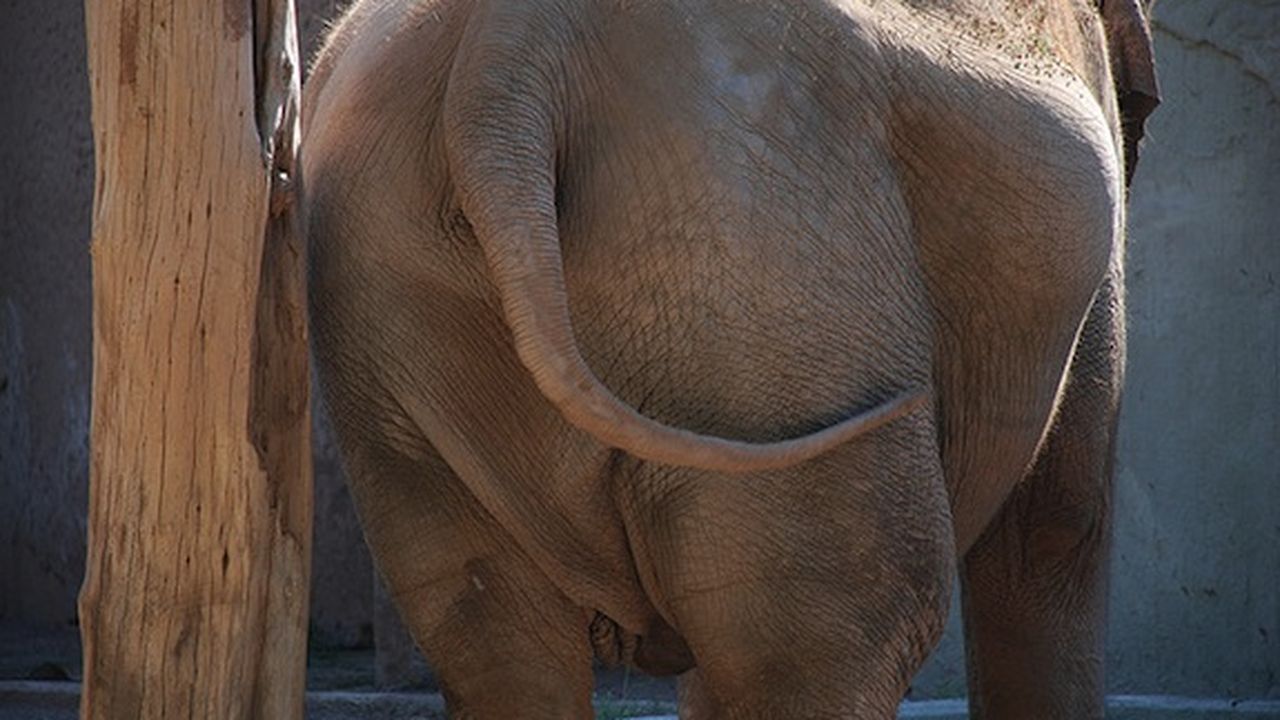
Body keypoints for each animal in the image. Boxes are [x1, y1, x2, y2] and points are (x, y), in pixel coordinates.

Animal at [301, 0, 1159, 717]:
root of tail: (505, 57)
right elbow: (1055, 529)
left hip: (398, 300)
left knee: (494, 638)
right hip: (769, 273)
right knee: (840, 629)